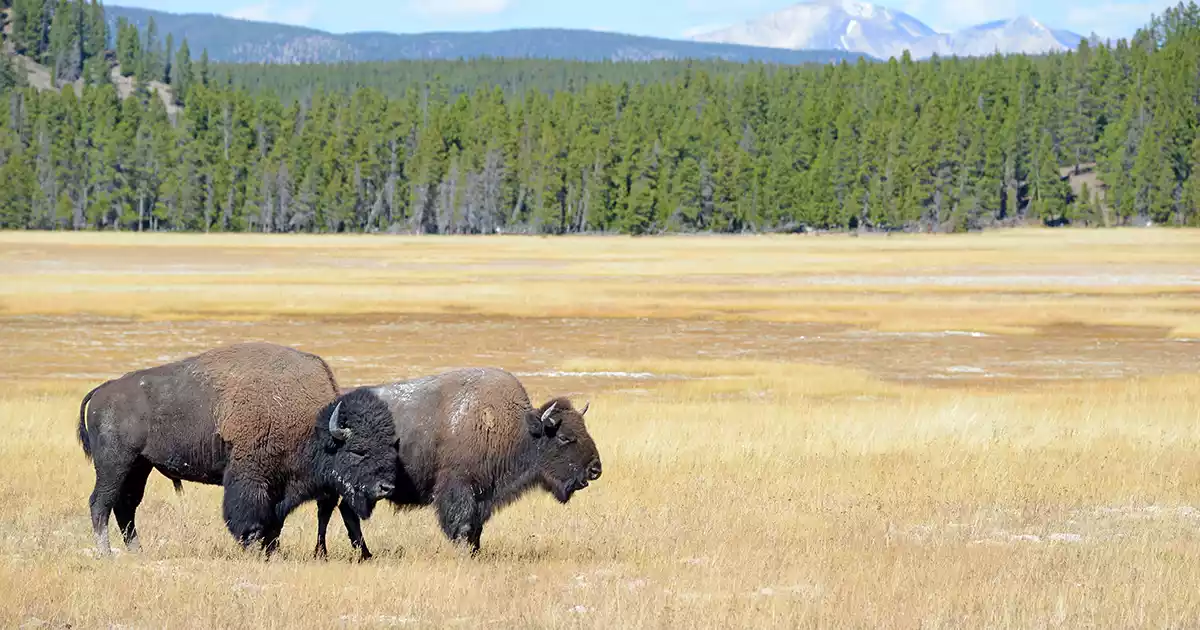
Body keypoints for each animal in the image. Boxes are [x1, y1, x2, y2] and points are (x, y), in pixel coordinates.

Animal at [77, 342, 399, 558]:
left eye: (389, 445)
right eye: (358, 450)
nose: (385, 487)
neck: (311, 423)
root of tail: (102, 390)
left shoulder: (279, 487)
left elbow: (276, 521)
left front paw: (271, 550)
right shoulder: (251, 476)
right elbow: (250, 513)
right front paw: (253, 546)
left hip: (139, 466)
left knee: (126, 506)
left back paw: (138, 551)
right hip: (114, 465)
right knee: (100, 503)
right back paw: (106, 553)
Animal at [314, 367, 602, 560]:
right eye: (565, 437)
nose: (596, 469)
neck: (515, 429)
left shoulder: (483, 495)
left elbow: (477, 527)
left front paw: (475, 552)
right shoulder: (459, 489)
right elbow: (462, 524)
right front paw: (465, 553)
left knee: (346, 512)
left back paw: (365, 554)